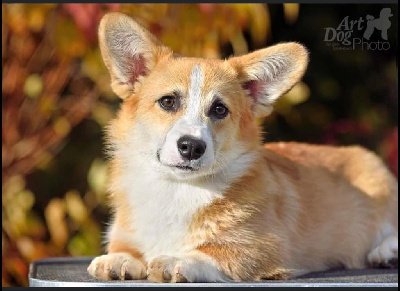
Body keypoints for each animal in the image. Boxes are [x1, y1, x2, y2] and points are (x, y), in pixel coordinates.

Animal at [86, 12, 396, 284]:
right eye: (168, 102)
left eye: (219, 109)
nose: (191, 147)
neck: (177, 188)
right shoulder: (125, 233)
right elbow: (125, 248)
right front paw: (120, 260)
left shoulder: (265, 246)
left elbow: (213, 252)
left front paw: (178, 260)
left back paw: (387, 251)